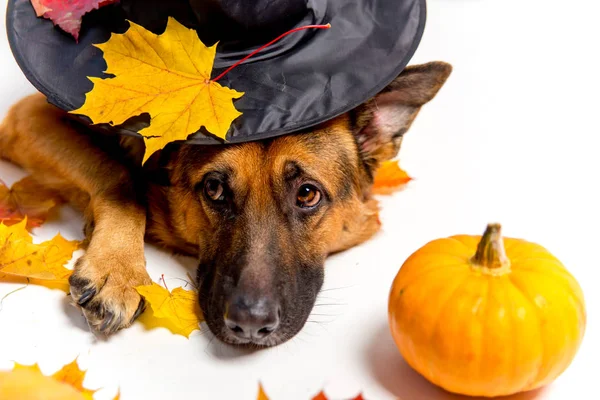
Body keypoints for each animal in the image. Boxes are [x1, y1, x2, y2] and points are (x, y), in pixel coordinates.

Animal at [0, 61, 450, 346]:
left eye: (307, 194)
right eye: (214, 189)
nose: (249, 325)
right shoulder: (29, 115)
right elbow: (118, 174)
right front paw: (118, 269)